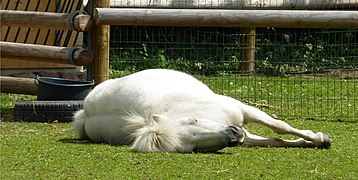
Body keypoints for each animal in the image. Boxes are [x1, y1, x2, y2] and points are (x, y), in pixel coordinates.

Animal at [73, 69, 332, 152]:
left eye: (193, 120)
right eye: (193, 148)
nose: (233, 135)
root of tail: (86, 114)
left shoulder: (244, 110)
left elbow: (280, 127)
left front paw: (319, 138)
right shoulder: (243, 129)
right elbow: (275, 139)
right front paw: (315, 140)